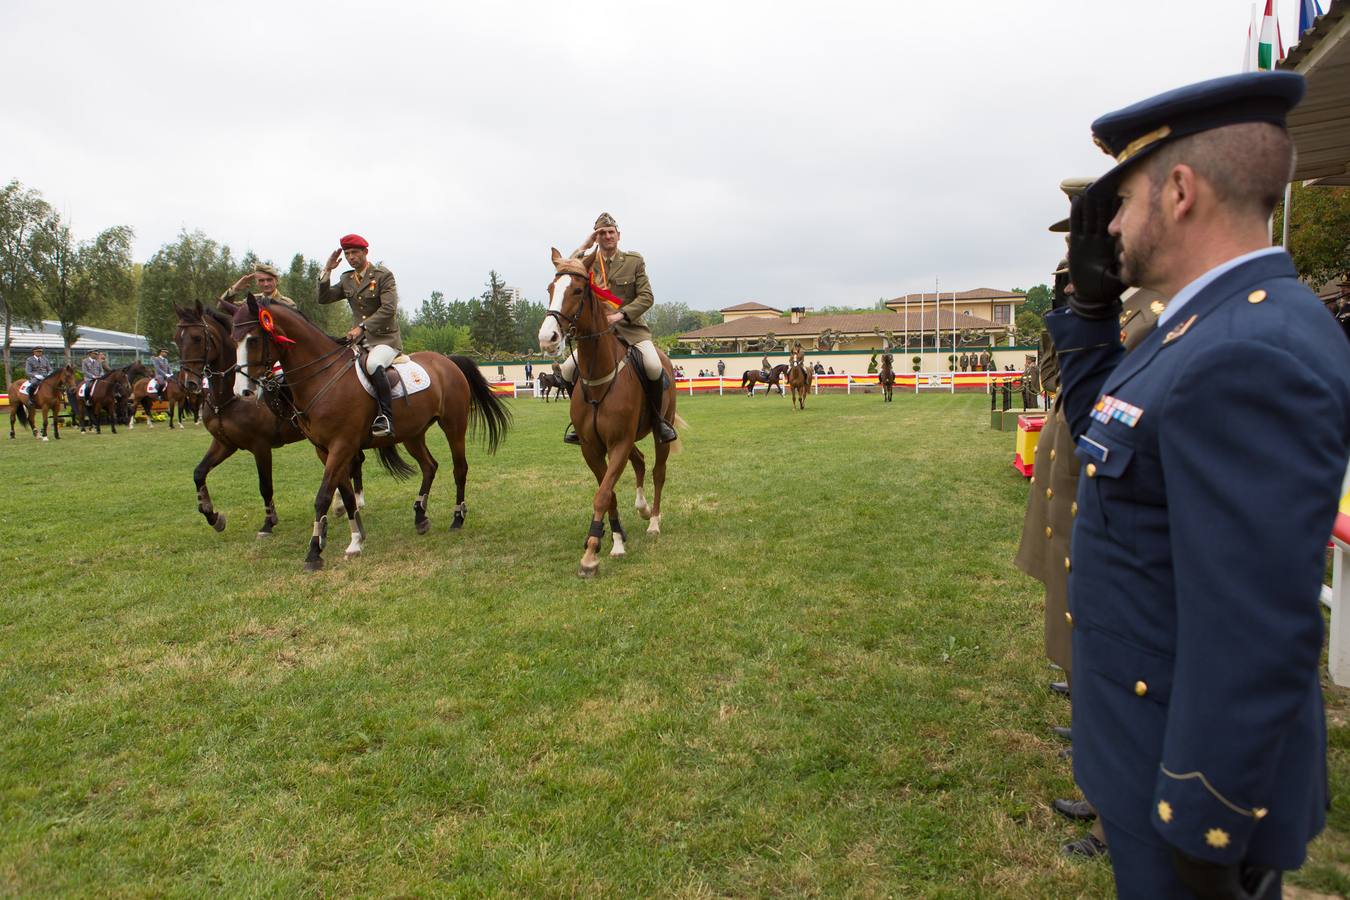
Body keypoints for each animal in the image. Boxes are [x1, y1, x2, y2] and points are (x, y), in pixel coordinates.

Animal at [174, 302, 367, 539]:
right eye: (176, 339)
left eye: (197, 338)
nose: (188, 383)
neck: (227, 399)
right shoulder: (225, 443)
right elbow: (199, 473)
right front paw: (213, 516)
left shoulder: (260, 446)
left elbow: (265, 485)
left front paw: (268, 522)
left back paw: (354, 500)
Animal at [229, 299, 507, 574]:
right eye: (234, 340)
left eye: (253, 340)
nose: (242, 391)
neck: (322, 377)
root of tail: (447, 361)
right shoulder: (325, 449)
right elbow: (346, 494)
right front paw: (356, 540)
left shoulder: (342, 445)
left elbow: (323, 497)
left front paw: (314, 552)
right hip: (413, 434)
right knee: (429, 466)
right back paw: (420, 517)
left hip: (453, 425)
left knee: (459, 469)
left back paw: (457, 518)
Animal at [537, 249, 685, 580]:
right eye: (550, 289)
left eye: (578, 290)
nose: (548, 338)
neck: (599, 376)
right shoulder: (592, 448)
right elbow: (609, 491)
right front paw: (614, 539)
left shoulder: (618, 443)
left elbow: (603, 494)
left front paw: (591, 555)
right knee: (640, 462)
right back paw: (642, 508)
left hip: (660, 432)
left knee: (657, 472)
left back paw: (653, 520)